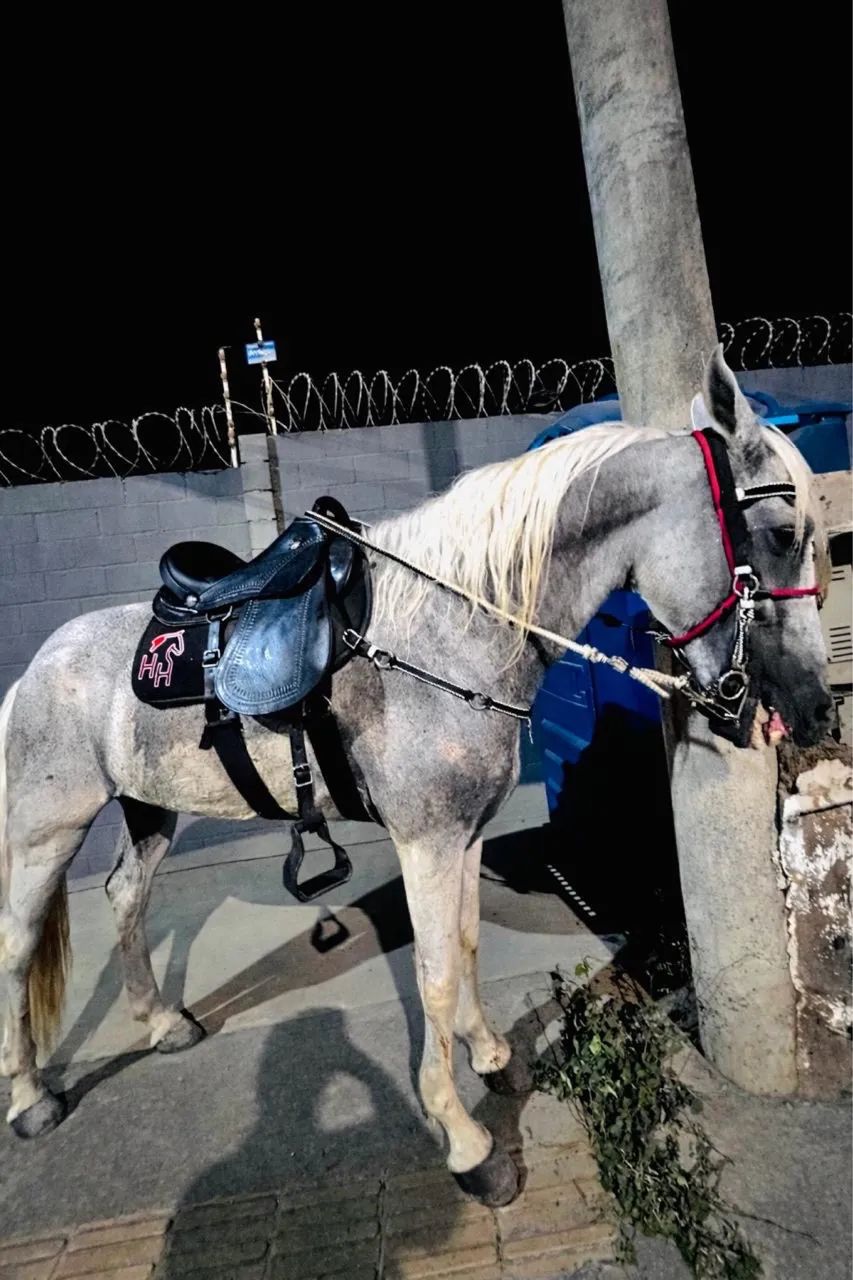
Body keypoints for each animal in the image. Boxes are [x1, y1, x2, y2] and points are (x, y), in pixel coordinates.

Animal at [0, 348, 833, 1206]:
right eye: (780, 533)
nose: (812, 706)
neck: (452, 633)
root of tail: (38, 667)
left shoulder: (463, 836)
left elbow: (463, 945)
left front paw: (490, 1054)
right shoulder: (426, 843)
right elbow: (431, 975)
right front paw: (465, 1140)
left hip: (146, 810)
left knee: (126, 899)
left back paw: (162, 1024)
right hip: (47, 829)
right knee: (18, 943)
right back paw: (30, 1099)